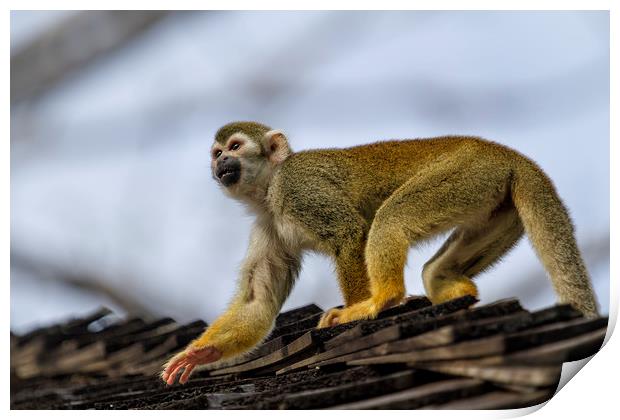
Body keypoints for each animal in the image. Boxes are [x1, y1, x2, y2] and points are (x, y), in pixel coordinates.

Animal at [162, 120, 600, 384]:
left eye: (235, 147)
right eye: (217, 153)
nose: (222, 163)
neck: (269, 191)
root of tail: (506, 154)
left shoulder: (297, 188)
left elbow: (348, 233)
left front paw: (355, 309)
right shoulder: (267, 227)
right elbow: (258, 302)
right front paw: (200, 354)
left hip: (464, 174)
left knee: (390, 218)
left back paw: (383, 298)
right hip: (494, 198)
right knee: (431, 263)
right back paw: (449, 288)